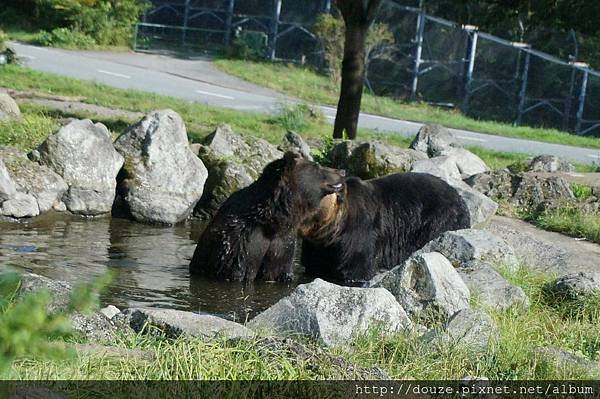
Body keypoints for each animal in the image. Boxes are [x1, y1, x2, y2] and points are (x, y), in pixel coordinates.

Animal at [188, 152, 346, 282]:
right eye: (317, 166)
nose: (342, 171)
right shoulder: (241, 242)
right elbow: (234, 270)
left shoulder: (284, 243)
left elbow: (279, 270)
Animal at [298, 173, 468, 284]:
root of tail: (459, 196)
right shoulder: (316, 246)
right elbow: (313, 265)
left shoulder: (359, 233)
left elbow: (357, 267)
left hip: (439, 218)